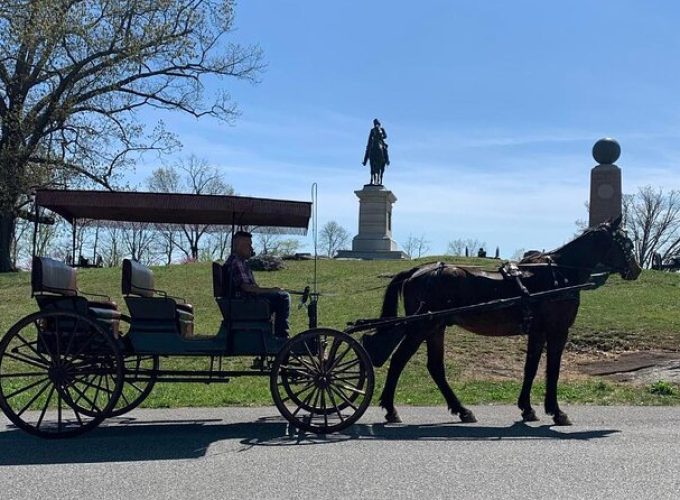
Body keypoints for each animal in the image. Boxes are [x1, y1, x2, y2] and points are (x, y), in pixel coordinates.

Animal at [364, 217, 640, 424]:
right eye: (626, 242)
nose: (636, 269)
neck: (559, 273)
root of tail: (417, 271)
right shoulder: (557, 330)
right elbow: (552, 370)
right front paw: (556, 411)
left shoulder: (537, 331)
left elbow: (531, 368)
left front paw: (527, 408)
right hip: (422, 326)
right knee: (399, 360)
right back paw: (391, 409)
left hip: (436, 326)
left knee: (435, 367)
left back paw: (462, 410)